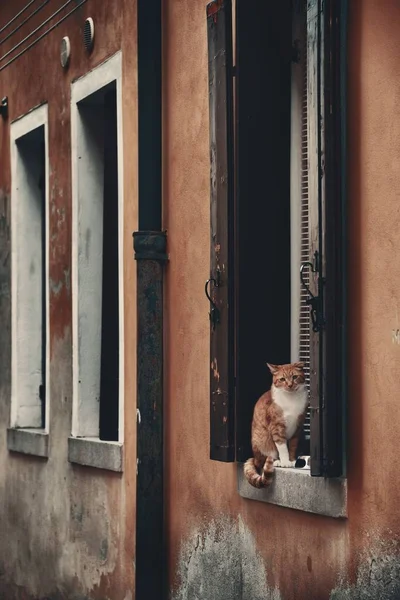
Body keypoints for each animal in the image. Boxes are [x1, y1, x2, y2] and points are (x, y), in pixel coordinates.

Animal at [242, 360, 308, 488]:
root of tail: (254, 458)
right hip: (262, 441)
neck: (291, 399)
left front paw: (292, 460)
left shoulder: (297, 427)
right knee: (263, 462)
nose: (290, 385)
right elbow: (282, 447)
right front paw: (285, 462)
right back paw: (277, 461)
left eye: (295, 377)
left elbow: (292, 446)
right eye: (282, 379)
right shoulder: (277, 427)